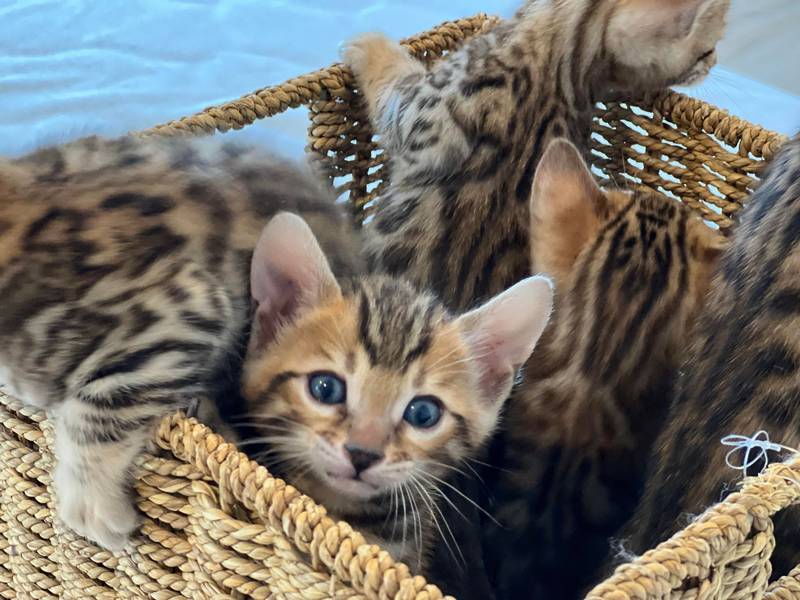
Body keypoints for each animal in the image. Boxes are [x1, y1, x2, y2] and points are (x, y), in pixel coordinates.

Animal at [0, 134, 552, 564]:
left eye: (423, 414)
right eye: (326, 388)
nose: (363, 453)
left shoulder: (182, 309)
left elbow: (106, 401)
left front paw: (90, 503)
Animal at [344, 0, 732, 312]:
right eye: (705, 52)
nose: (714, 61)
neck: (561, 65)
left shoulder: (416, 108)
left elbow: (392, 80)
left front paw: (366, 42)